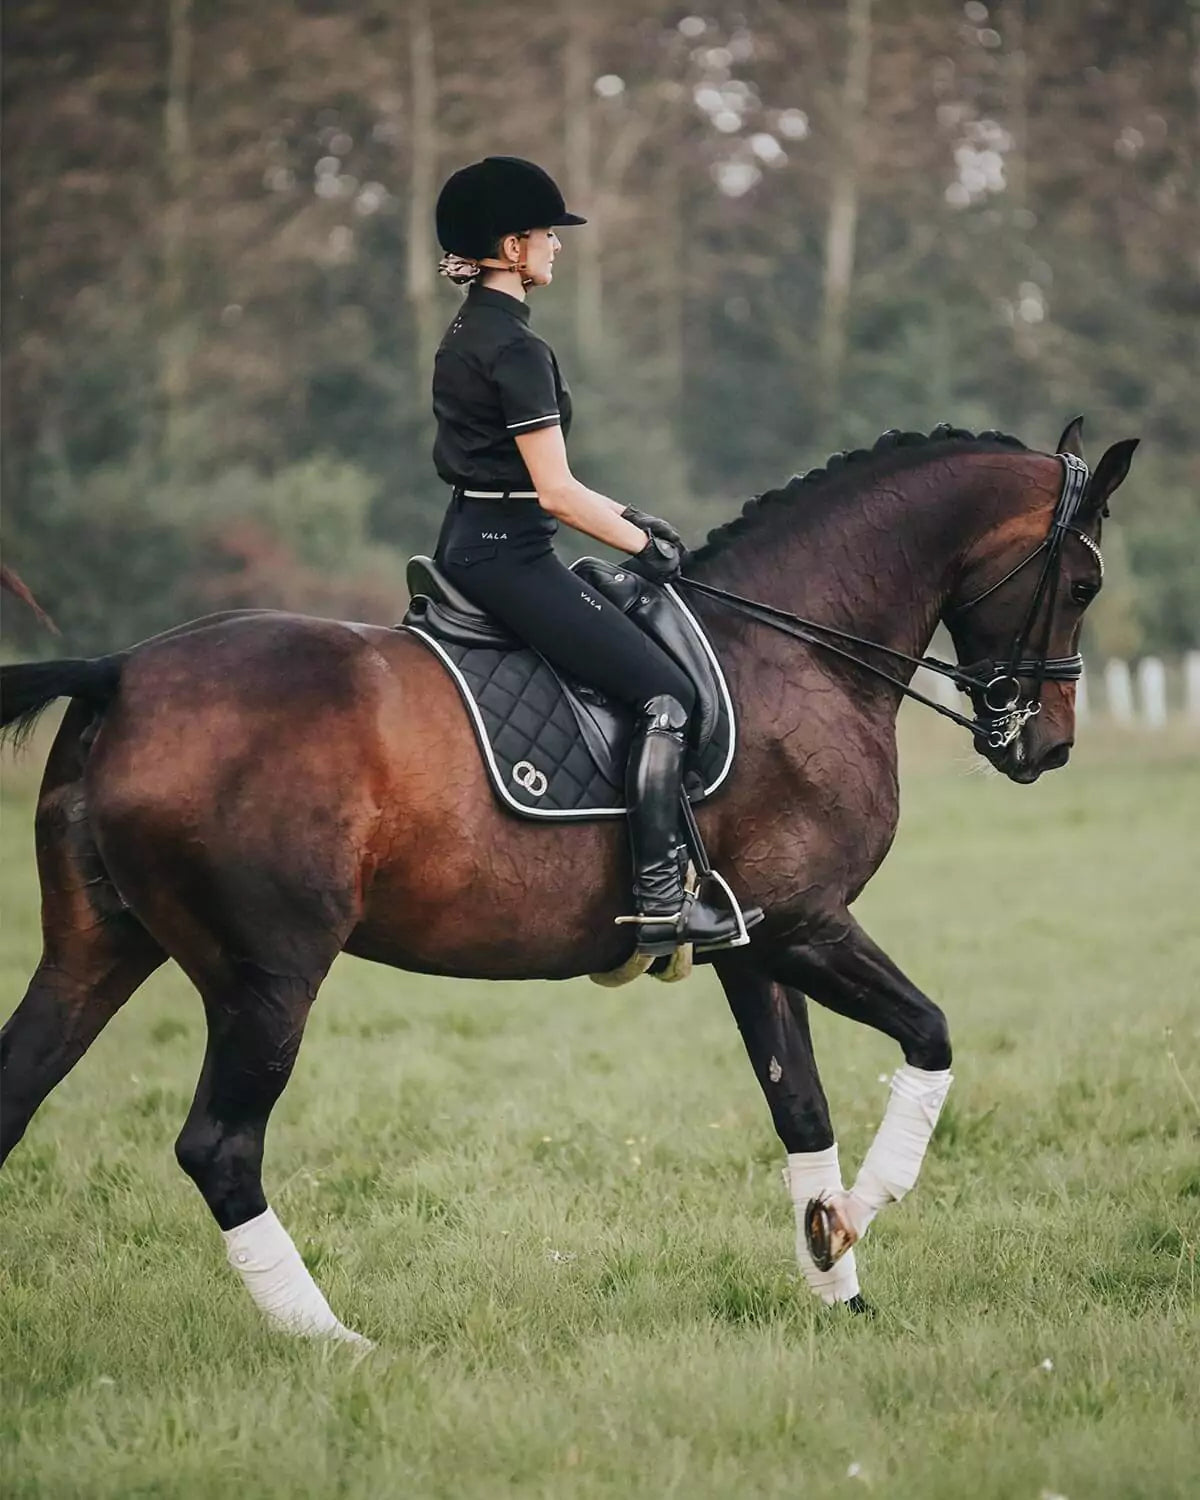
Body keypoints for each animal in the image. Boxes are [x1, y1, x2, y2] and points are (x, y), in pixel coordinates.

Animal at [0, 420, 1134, 1338]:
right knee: (221, 1148)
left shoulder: (755, 943)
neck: (794, 651)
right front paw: (851, 1218)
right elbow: (929, 1036)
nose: (1047, 747)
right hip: (268, 978)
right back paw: (328, 1338)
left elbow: (801, 1109)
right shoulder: (808, 924)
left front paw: (834, 1282)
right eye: (1082, 586)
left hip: (97, 951)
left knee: (21, 1088)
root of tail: (122, 672)